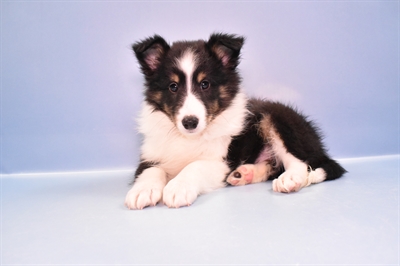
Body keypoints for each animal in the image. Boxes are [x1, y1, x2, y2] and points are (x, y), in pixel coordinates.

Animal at [126, 32, 346, 210]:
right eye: (173, 86)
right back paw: (246, 173)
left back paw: (289, 179)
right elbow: (150, 171)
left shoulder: (221, 161)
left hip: (276, 119)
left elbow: (194, 166)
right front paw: (141, 191)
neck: (189, 138)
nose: (190, 122)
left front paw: (177, 188)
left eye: (205, 84)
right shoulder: (151, 154)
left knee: (299, 161)